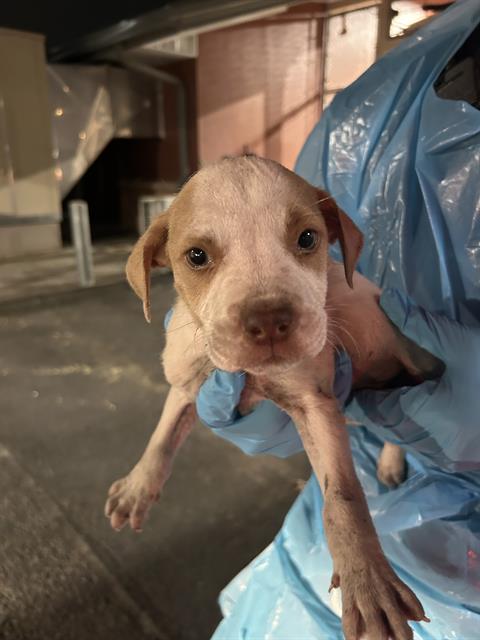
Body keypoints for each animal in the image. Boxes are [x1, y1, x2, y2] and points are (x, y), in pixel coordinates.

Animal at [105, 156, 440, 640]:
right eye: (197, 256)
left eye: (307, 239)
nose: (267, 321)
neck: (253, 377)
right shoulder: (189, 384)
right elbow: (162, 435)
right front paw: (137, 486)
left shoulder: (315, 403)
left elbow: (344, 498)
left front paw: (368, 582)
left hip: (404, 349)